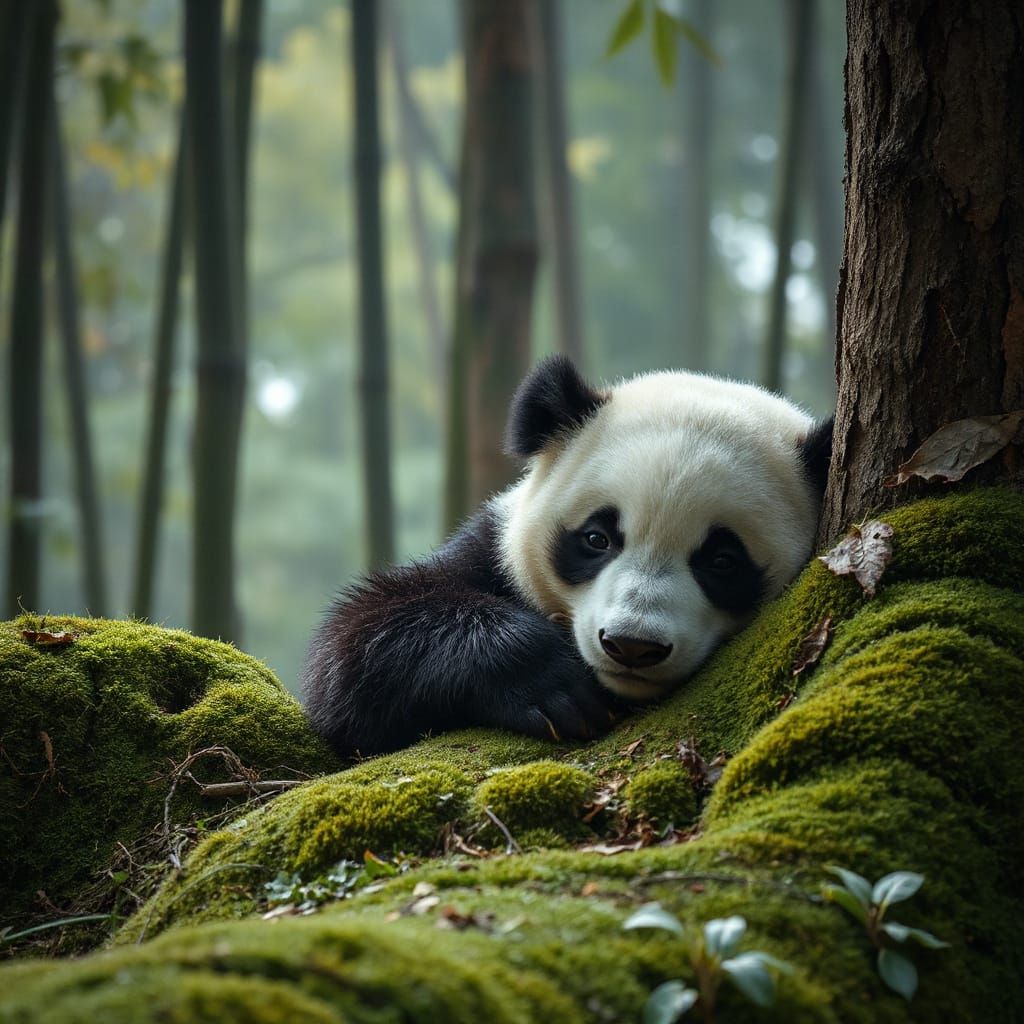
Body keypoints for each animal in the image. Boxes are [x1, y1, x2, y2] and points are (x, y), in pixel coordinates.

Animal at [303, 356, 832, 756]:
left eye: (722, 561)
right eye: (598, 539)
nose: (632, 645)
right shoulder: (492, 552)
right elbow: (352, 658)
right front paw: (557, 692)